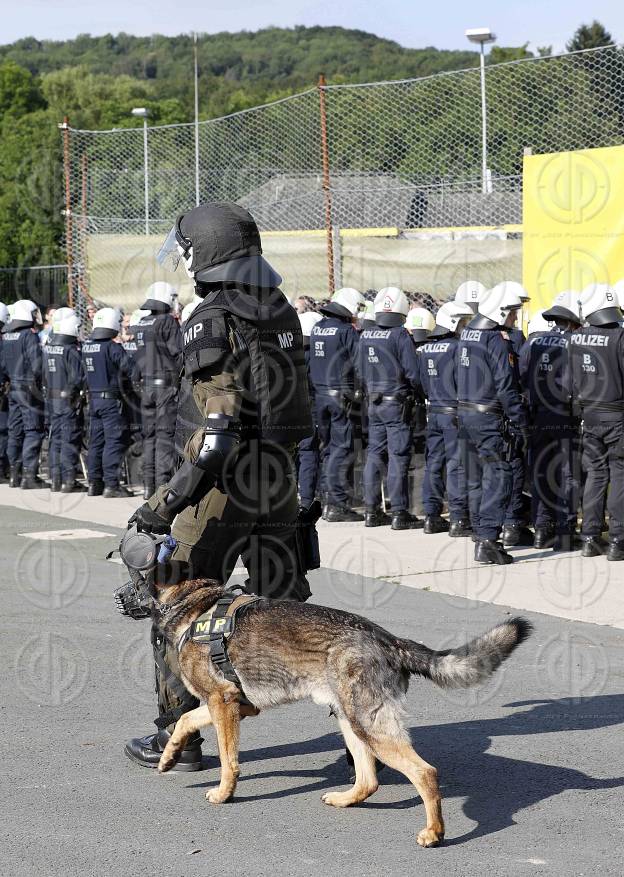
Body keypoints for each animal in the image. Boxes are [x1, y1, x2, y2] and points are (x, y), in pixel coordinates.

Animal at [155, 580, 532, 844]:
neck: (194, 604)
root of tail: (389, 640)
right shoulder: (234, 705)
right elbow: (186, 719)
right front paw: (170, 756)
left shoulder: (222, 703)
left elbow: (229, 761)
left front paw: (224, 793)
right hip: (351, 723)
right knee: (369, 780)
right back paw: (346, 799)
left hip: (368, 727)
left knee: (425, 773)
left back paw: (434, 833)